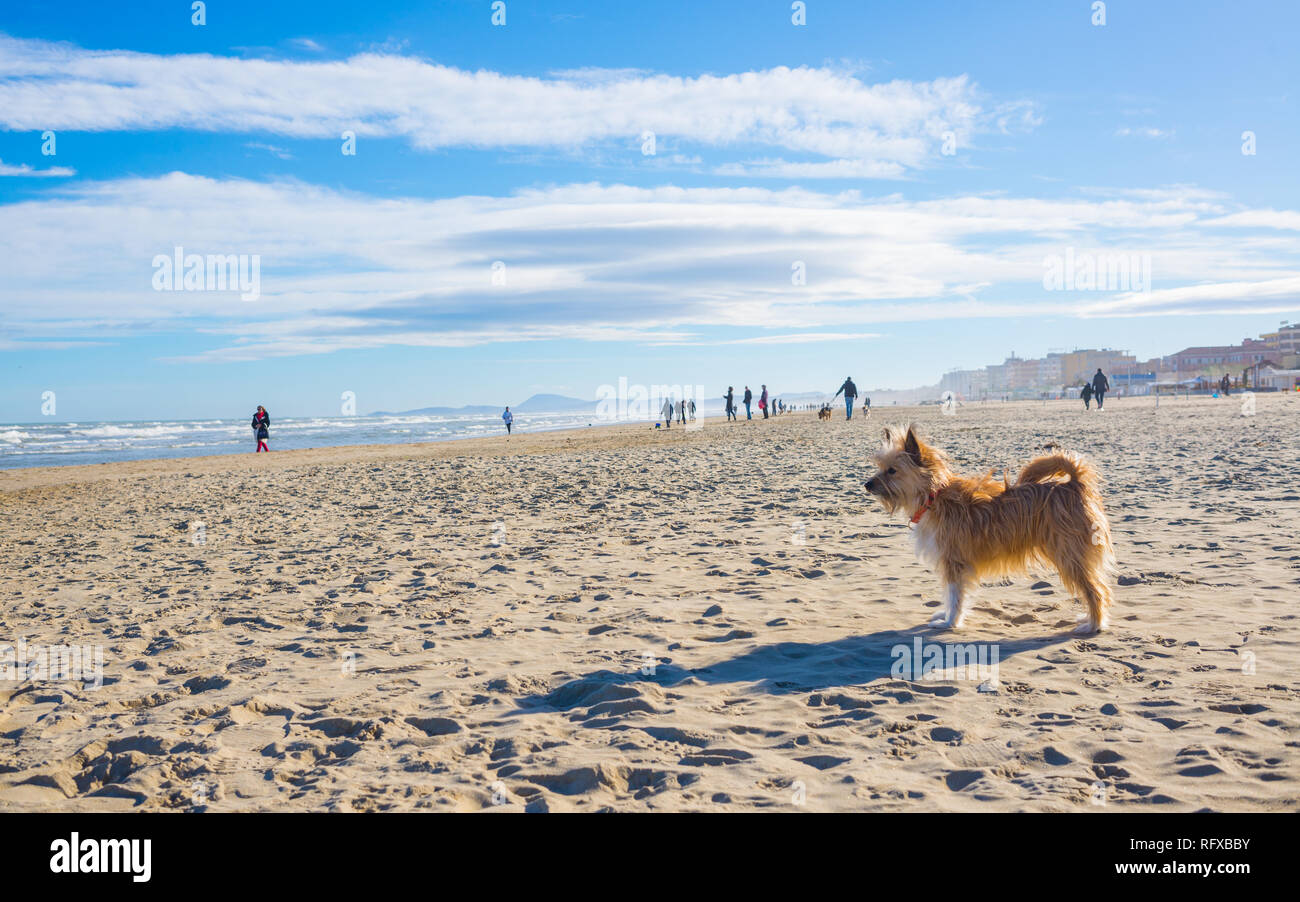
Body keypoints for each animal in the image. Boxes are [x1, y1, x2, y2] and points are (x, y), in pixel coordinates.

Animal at [863, 426, 1118, 631]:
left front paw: (950, 623)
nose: (866, 484)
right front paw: (946, 616)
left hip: (1070, 556)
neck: (934, 496)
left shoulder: (954, 561)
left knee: (1096, 591)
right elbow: (950, 594)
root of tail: (1073, 484)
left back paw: (1094, 624)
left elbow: (955, 596)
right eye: (881, 467)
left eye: (892, 470)